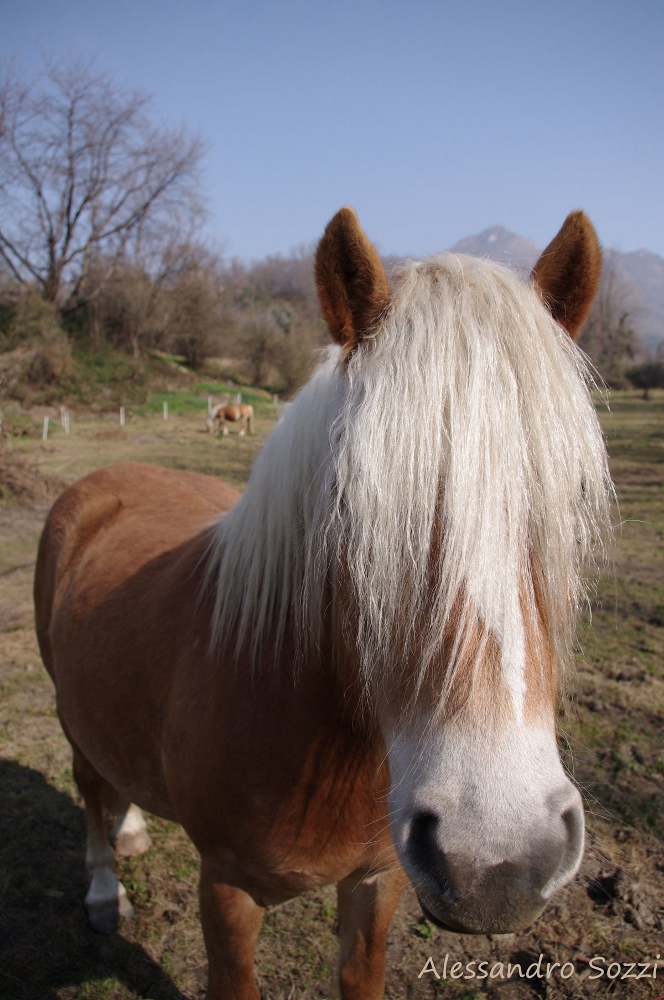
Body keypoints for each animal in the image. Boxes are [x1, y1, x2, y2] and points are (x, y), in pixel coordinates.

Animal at [34, 207, 611, 1000]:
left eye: (577, 493)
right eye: (351, 500)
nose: (497, 861)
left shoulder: (380, 881)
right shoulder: (226, 893)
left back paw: (131, 828)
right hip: (67, 708)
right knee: (88, 783)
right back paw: (102, 886)